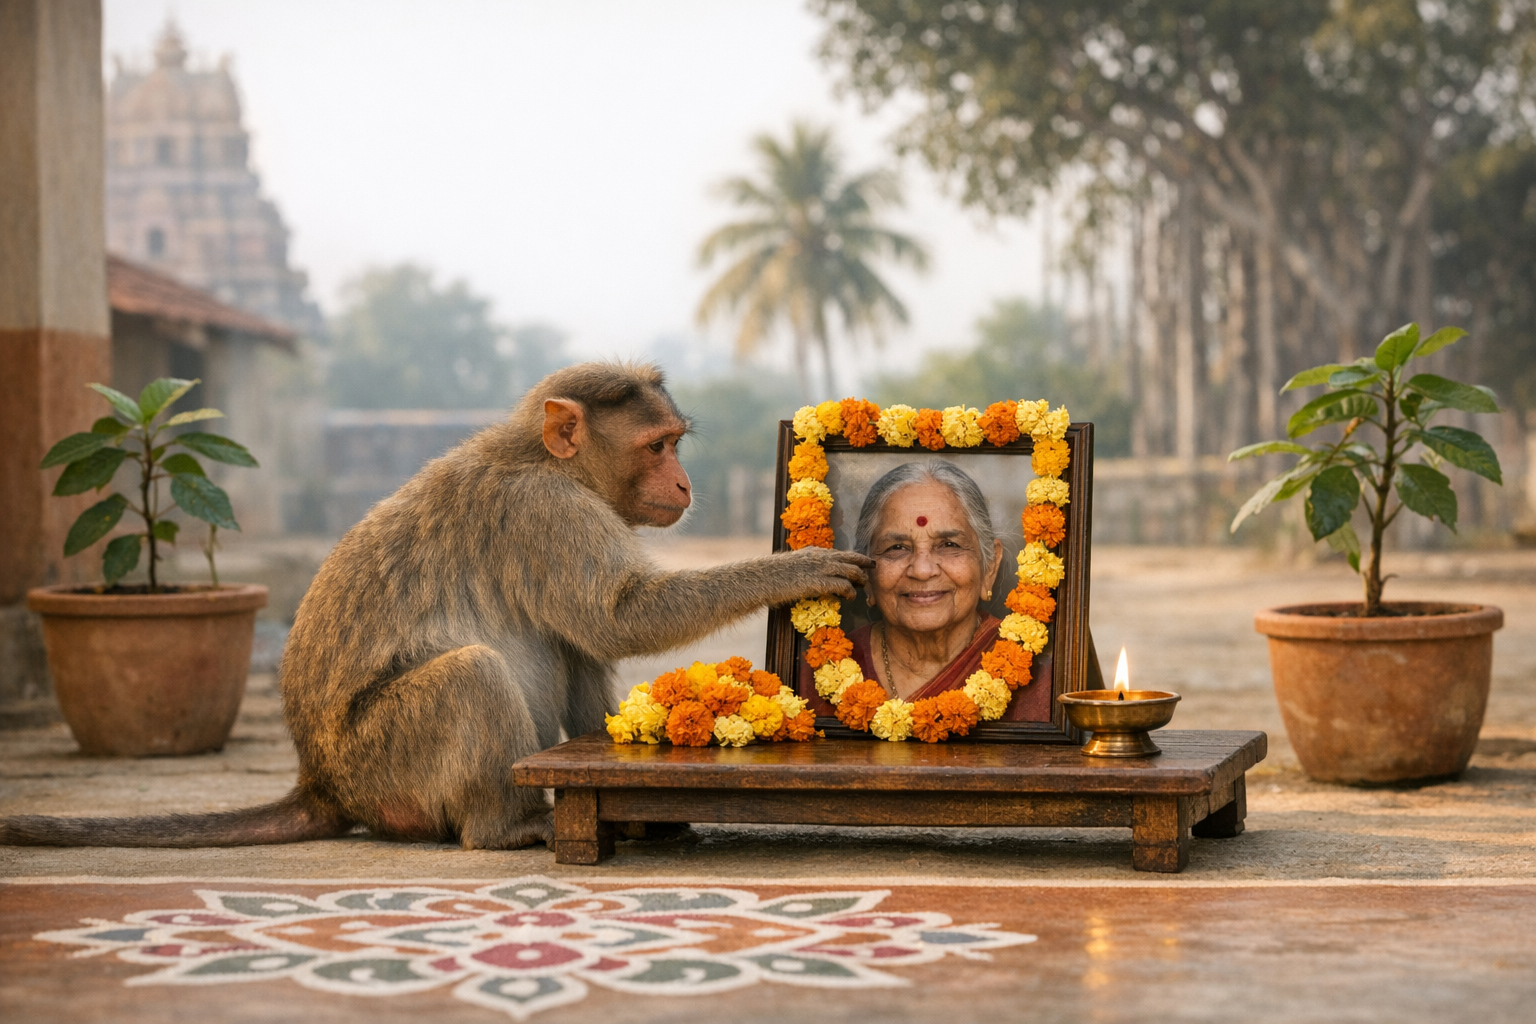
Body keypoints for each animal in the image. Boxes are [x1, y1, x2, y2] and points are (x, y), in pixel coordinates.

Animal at [1, 362, 872, 850]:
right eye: (657, 447)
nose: (685, 483)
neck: (545, 461)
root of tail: (321, 782)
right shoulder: (548, 515)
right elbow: (621, 615)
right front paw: (794, 568)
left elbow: (589, 641)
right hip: (383, 760)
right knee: (471, 675)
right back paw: (509, 828)